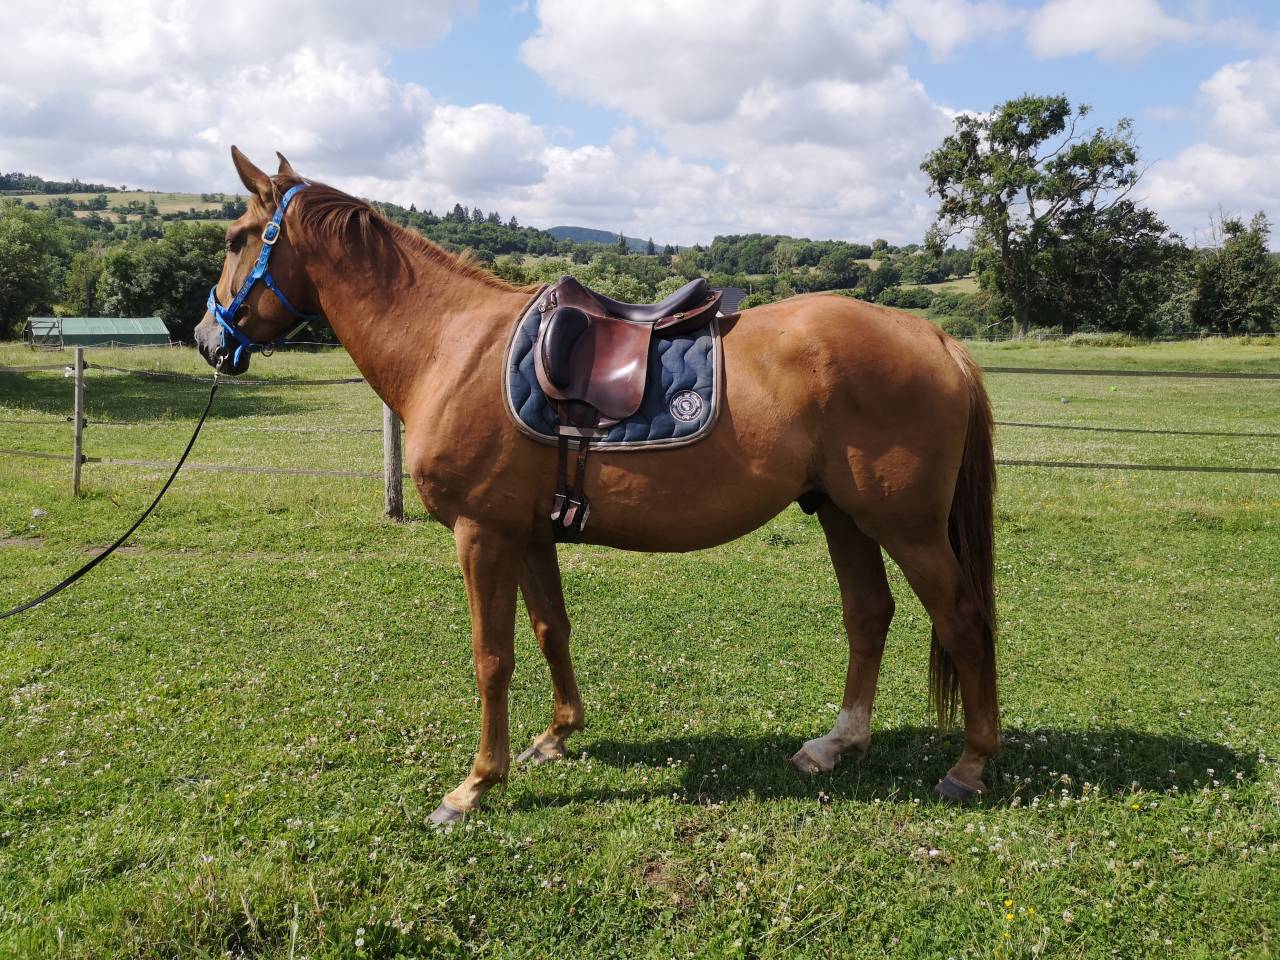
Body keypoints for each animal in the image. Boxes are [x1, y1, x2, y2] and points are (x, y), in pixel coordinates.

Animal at [193, 148, 1000, 825]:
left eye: (236, 238)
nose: (206, 338)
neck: (451, 343)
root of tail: (936, 339)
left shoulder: (481, 535)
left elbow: (492, 656)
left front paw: (475, 785)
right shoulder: (526, 532)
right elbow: (551, 629)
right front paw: (556, 736)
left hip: (907, 527)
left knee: (961, 617)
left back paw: (970, 764)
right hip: (843, 514)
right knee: (869, 616)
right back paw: (836, 745)